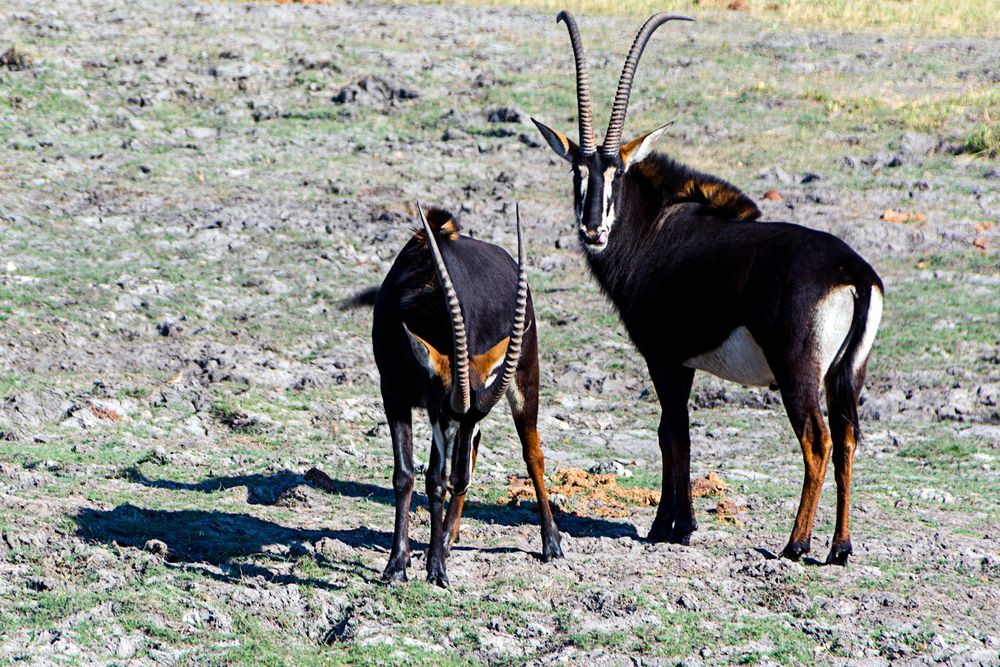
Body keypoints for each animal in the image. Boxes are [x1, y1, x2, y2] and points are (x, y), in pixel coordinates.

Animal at [374, 201, 568, 588]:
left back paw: (551, 542)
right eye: (448, 414)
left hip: (524, 379)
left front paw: (435, 569)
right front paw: (398, 565)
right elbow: (407, 475)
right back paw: (448, 538)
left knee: (531, 454)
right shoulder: (397, 395)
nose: (460, 480)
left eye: (474, 417)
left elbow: (437, 480)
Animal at [532, 11, 884, 564]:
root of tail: (855, 274)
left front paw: (671, 527)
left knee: (818, 441)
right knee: (847, 439)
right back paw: (840, 548)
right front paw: (675, 523)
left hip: (798, 373)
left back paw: (795, 544)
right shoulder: (685, 364)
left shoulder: (663, 358)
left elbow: (671, 434)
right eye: (577, 171)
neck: (654, 228)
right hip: (846, 375)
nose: (593, 230)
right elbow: (676, 435)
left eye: (618, 173)